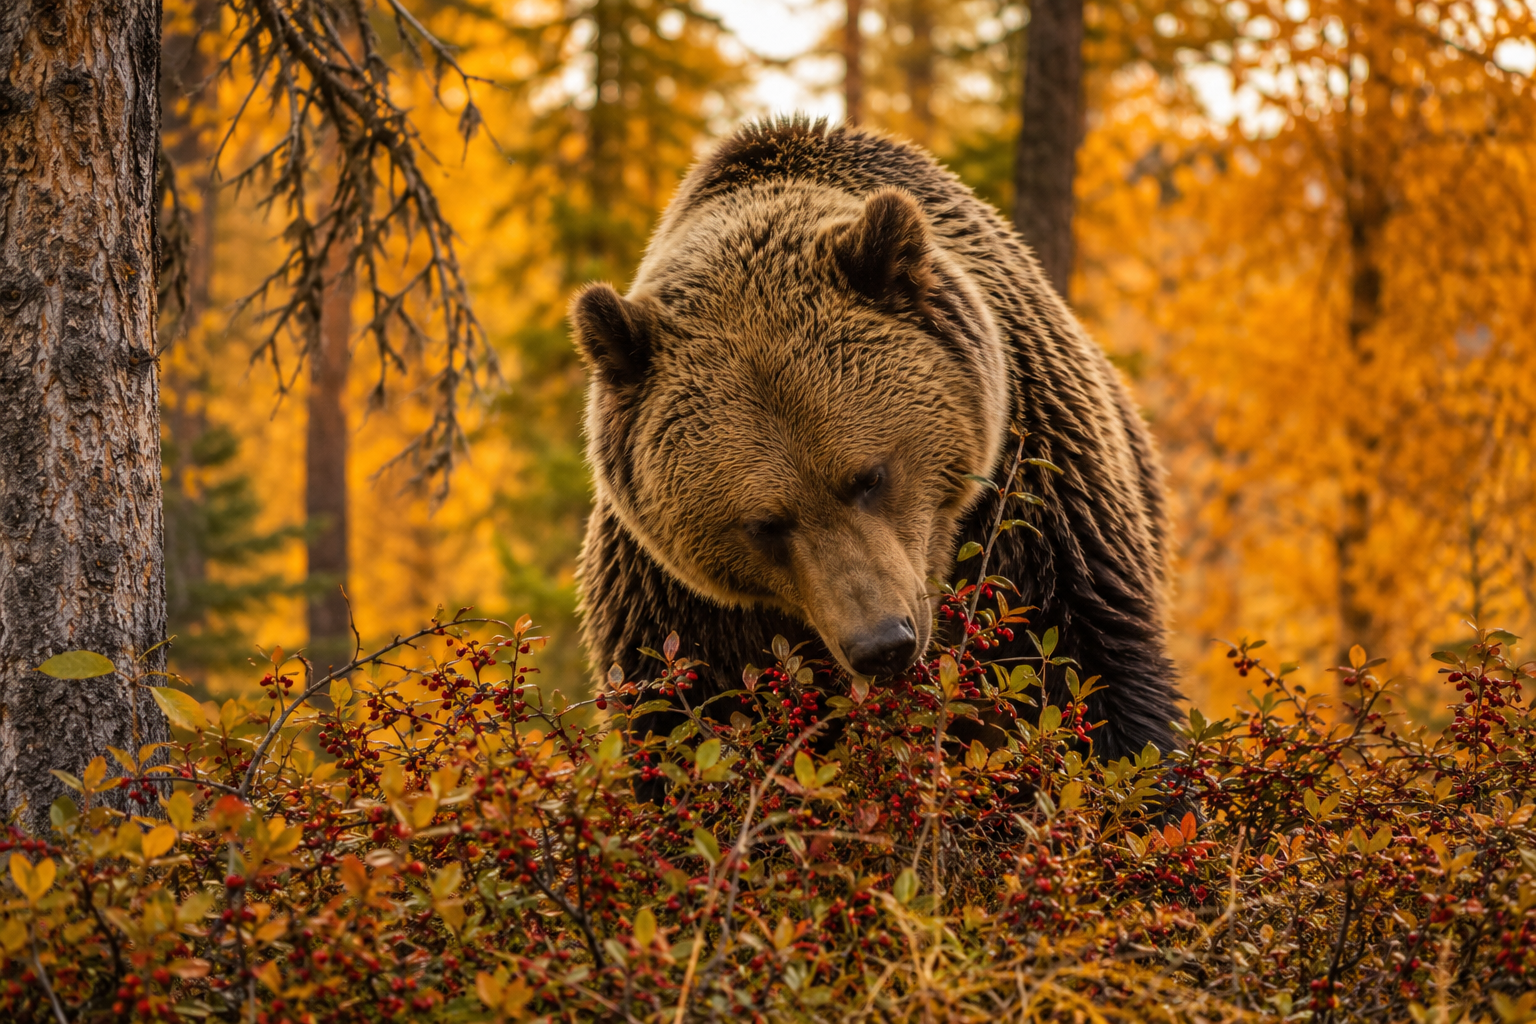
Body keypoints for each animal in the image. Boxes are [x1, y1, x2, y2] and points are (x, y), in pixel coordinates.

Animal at [571, 117, 1180, 765]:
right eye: (764, 523)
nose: (883, 643)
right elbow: (676, 725)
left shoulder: (1037, 492)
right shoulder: (674, 599)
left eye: (869, 477)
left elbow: (1088, 670)